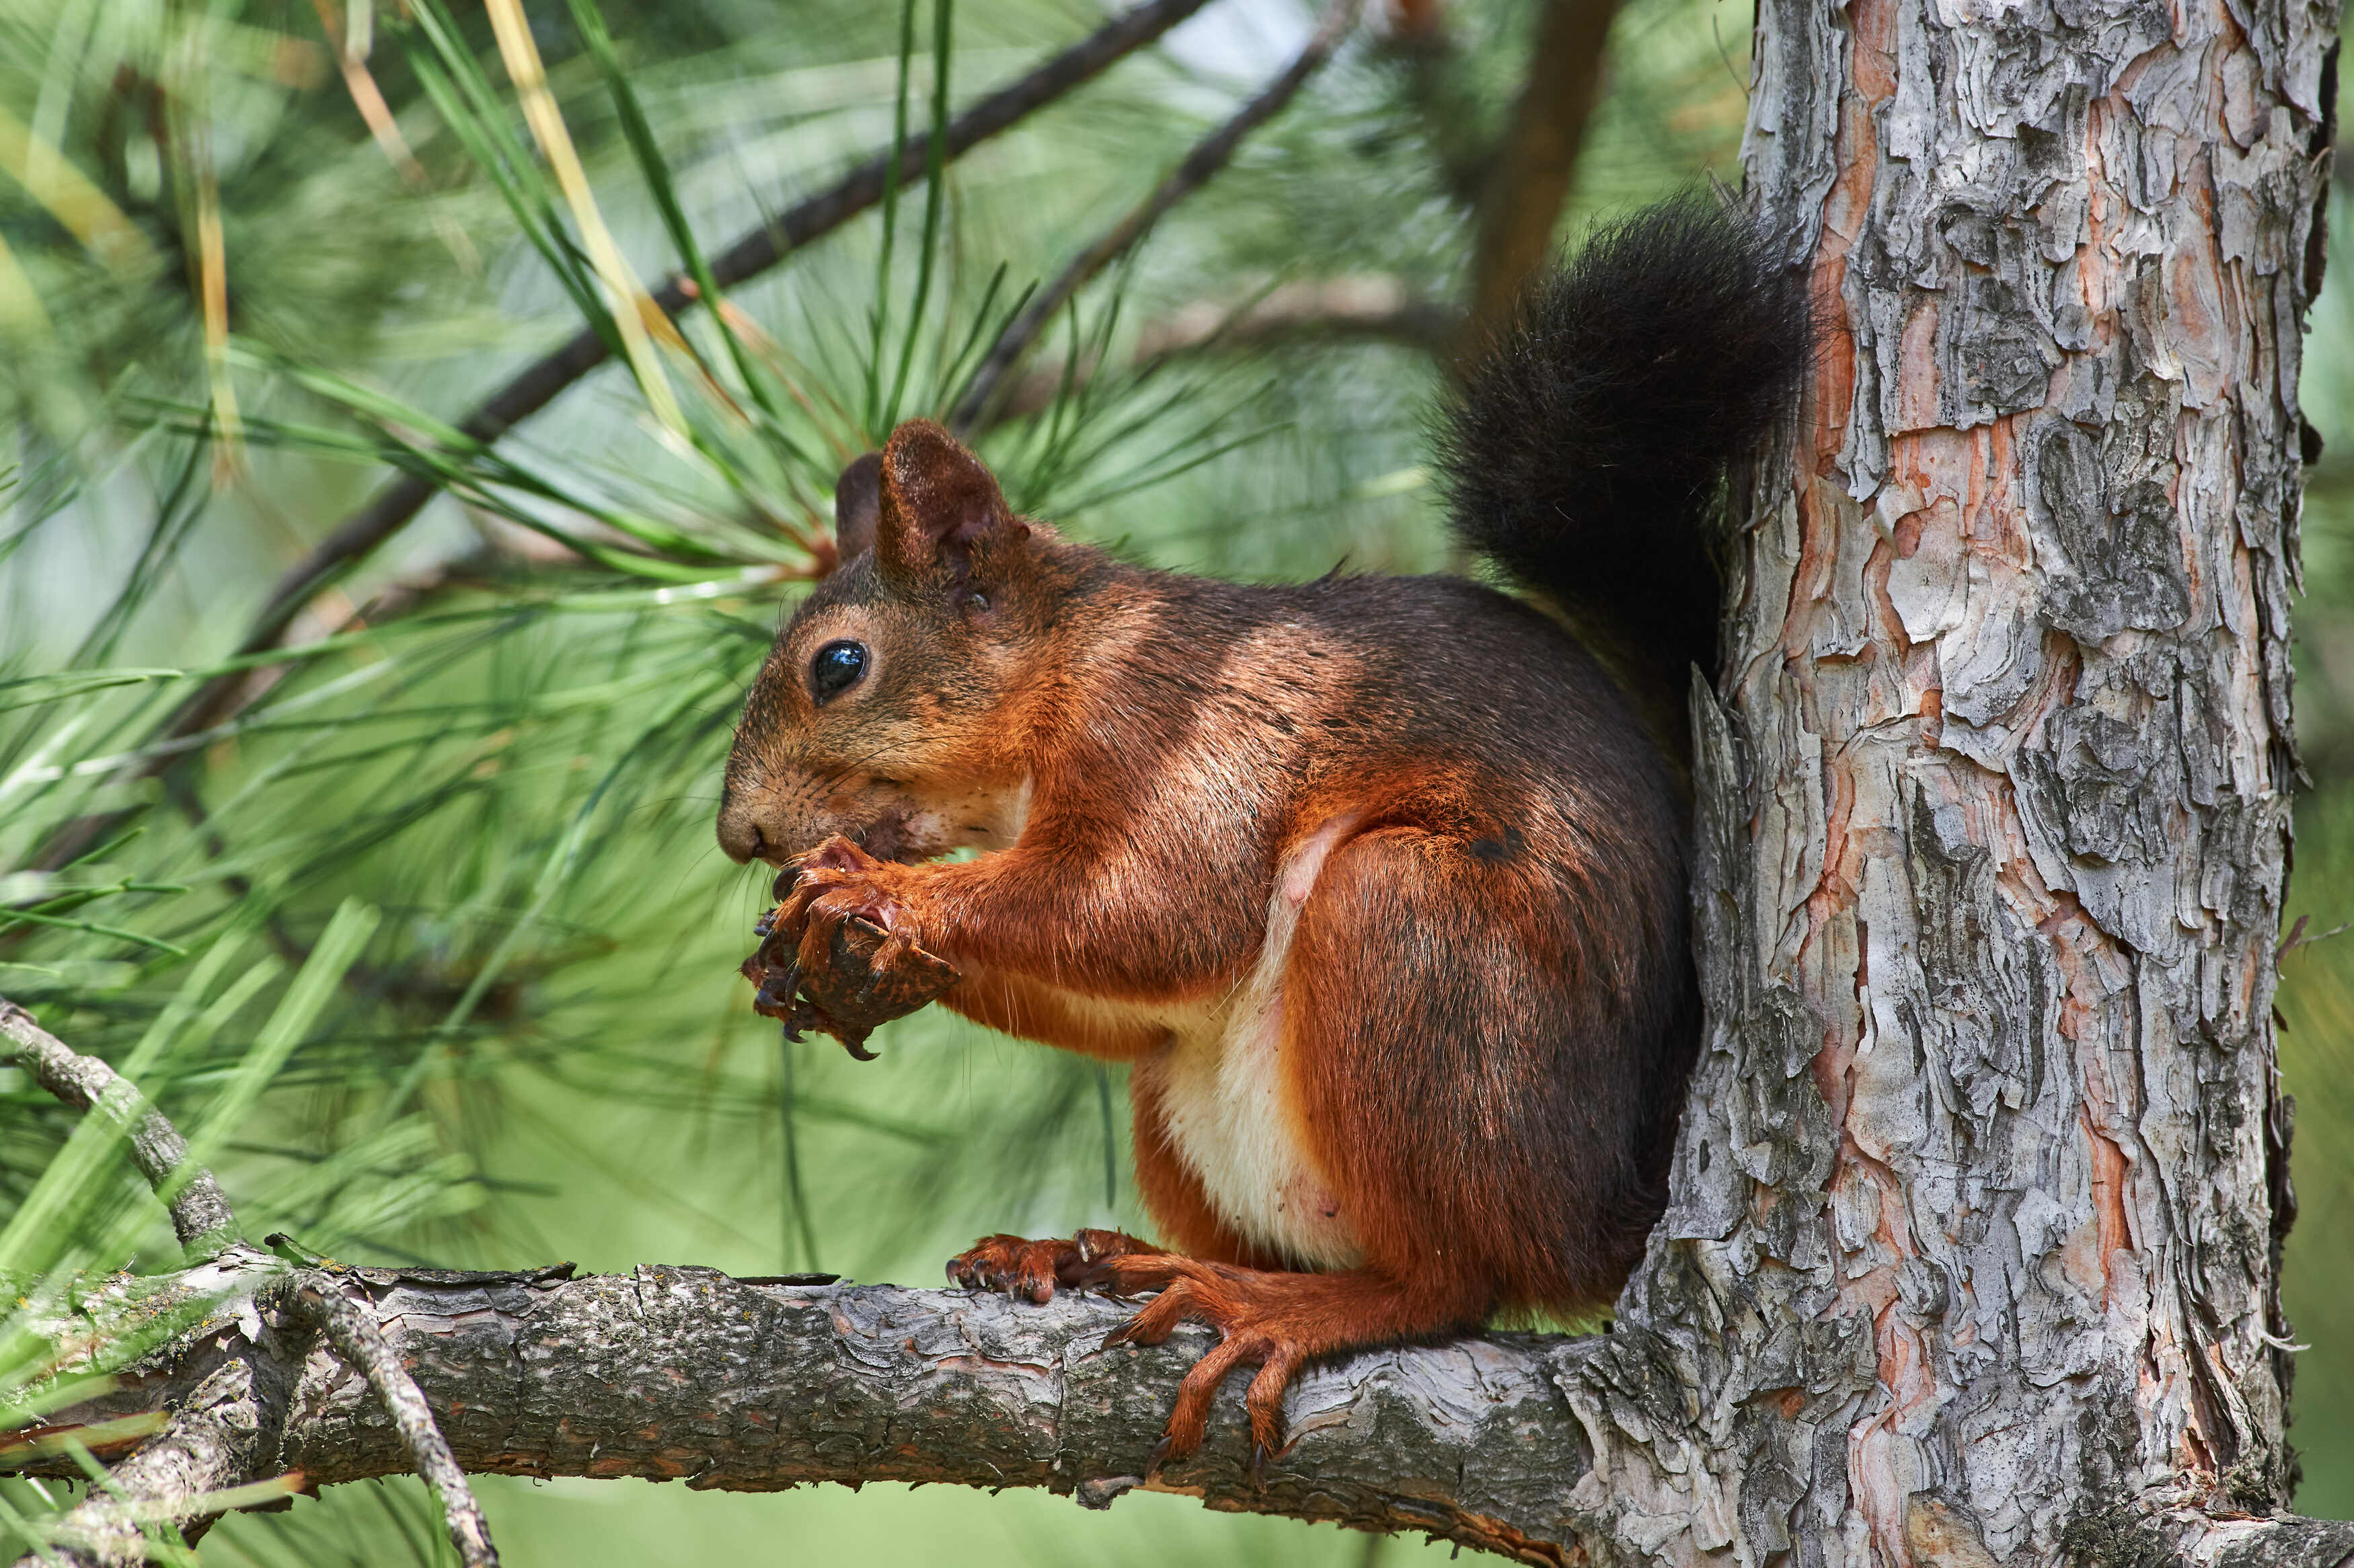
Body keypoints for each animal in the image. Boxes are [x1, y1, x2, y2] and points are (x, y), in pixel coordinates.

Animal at [711, 195, 1798, 1468]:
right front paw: (854, 967)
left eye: (838, 667)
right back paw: (1088, 1253)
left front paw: (871, 891)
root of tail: (1603, 1207)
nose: (741, 834)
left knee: (1454, 1281)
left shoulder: (1178, 735)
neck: (1068, 668)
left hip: (1414, 933)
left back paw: (1286, 1305)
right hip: (1189, 1102)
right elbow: (1118, 987)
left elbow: (1157, 908)